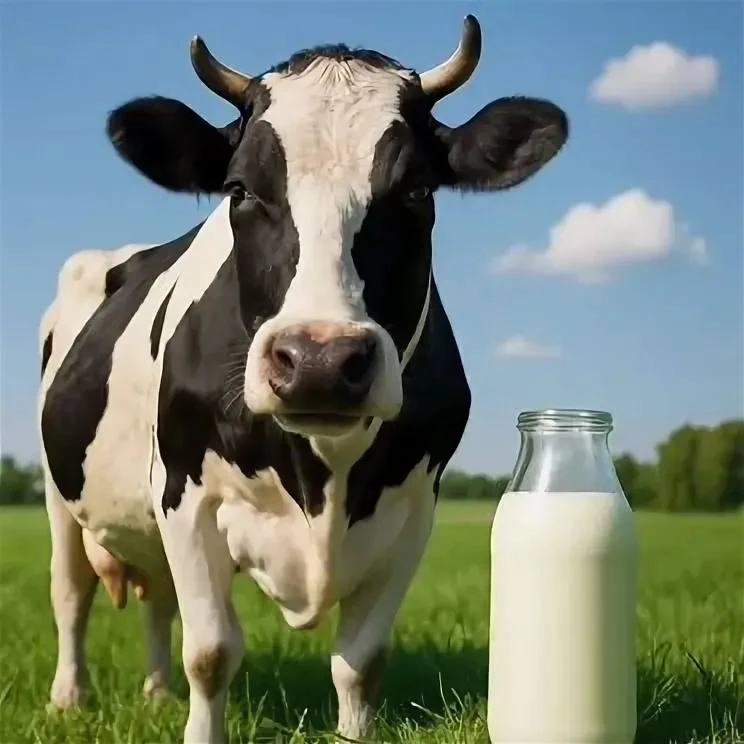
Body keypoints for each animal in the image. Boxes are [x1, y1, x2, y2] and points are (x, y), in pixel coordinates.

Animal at [39, 14, 568, 743]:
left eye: (417, 191)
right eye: (239, 190)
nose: (319, 361)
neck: (324, 475)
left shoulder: (414, 509)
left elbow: (361, 662)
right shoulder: (184, 493)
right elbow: (211, 654)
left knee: (157, 601)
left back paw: (155, 693)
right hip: (59, 495)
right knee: (70, 594)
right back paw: (69, 696)